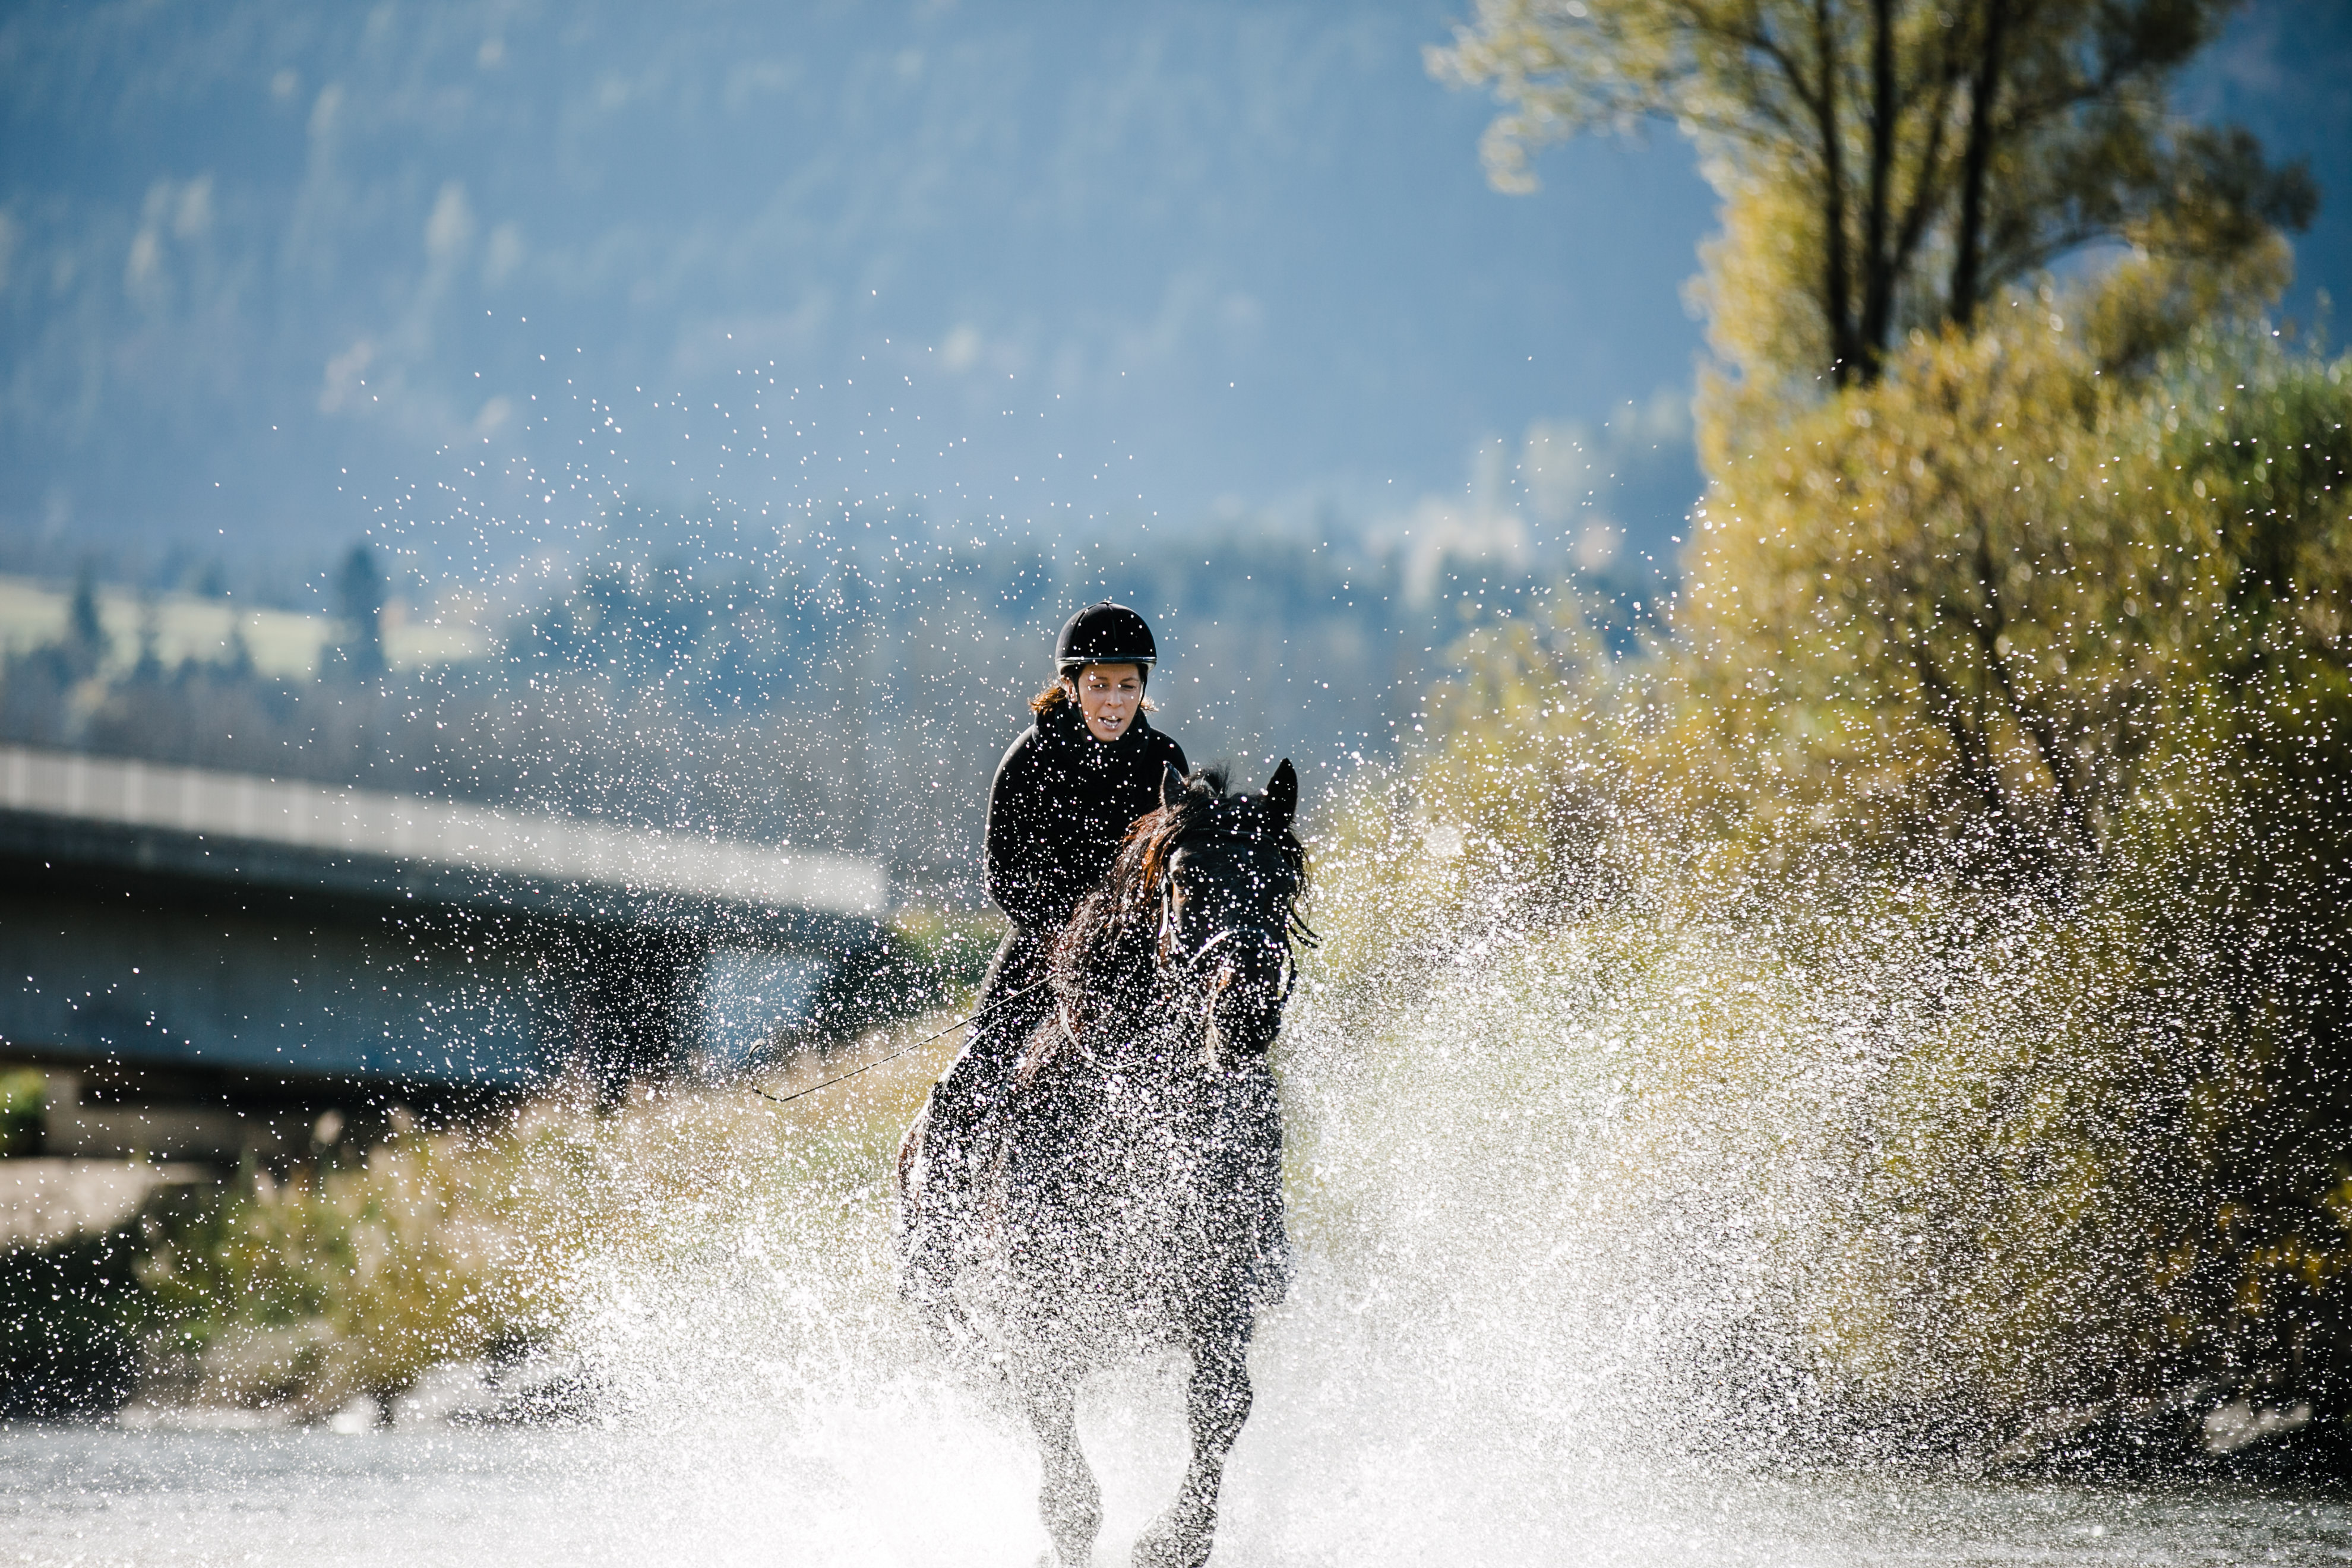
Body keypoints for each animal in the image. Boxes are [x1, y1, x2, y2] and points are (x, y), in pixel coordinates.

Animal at [898, 757, 1317, 1561]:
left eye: (1283, 883)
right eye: (1185, 880)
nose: (1246, 1010)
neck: (1144, 1104)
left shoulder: (1219, 1290)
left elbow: (1221, 1406)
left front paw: (1172, 1542)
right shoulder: (1037, 1315)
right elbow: (1070, 1496)